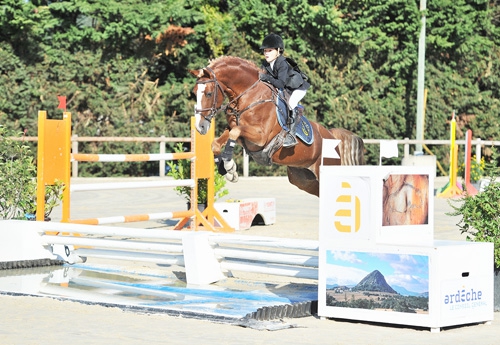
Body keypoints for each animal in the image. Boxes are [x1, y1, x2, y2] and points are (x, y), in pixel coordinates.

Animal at [188, 56, 364, 196]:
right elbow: (217, 143)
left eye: (208, 93)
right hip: (302, 179)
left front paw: (229, 166)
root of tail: (332, 136)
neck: (249, 96)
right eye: (194, 92)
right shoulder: (239, 133)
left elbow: (235, 132)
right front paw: (227, 171)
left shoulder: (260, 137)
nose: (200, 127)